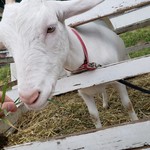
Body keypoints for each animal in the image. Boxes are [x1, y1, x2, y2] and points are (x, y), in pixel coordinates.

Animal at [0, 0, 138, 128]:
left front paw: (136, 121)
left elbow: (128, 105)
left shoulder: (117, 79)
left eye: (51, 28)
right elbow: (94, 115)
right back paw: (105, 103)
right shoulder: (83, 92)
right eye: (6, 44)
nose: (29, 97)